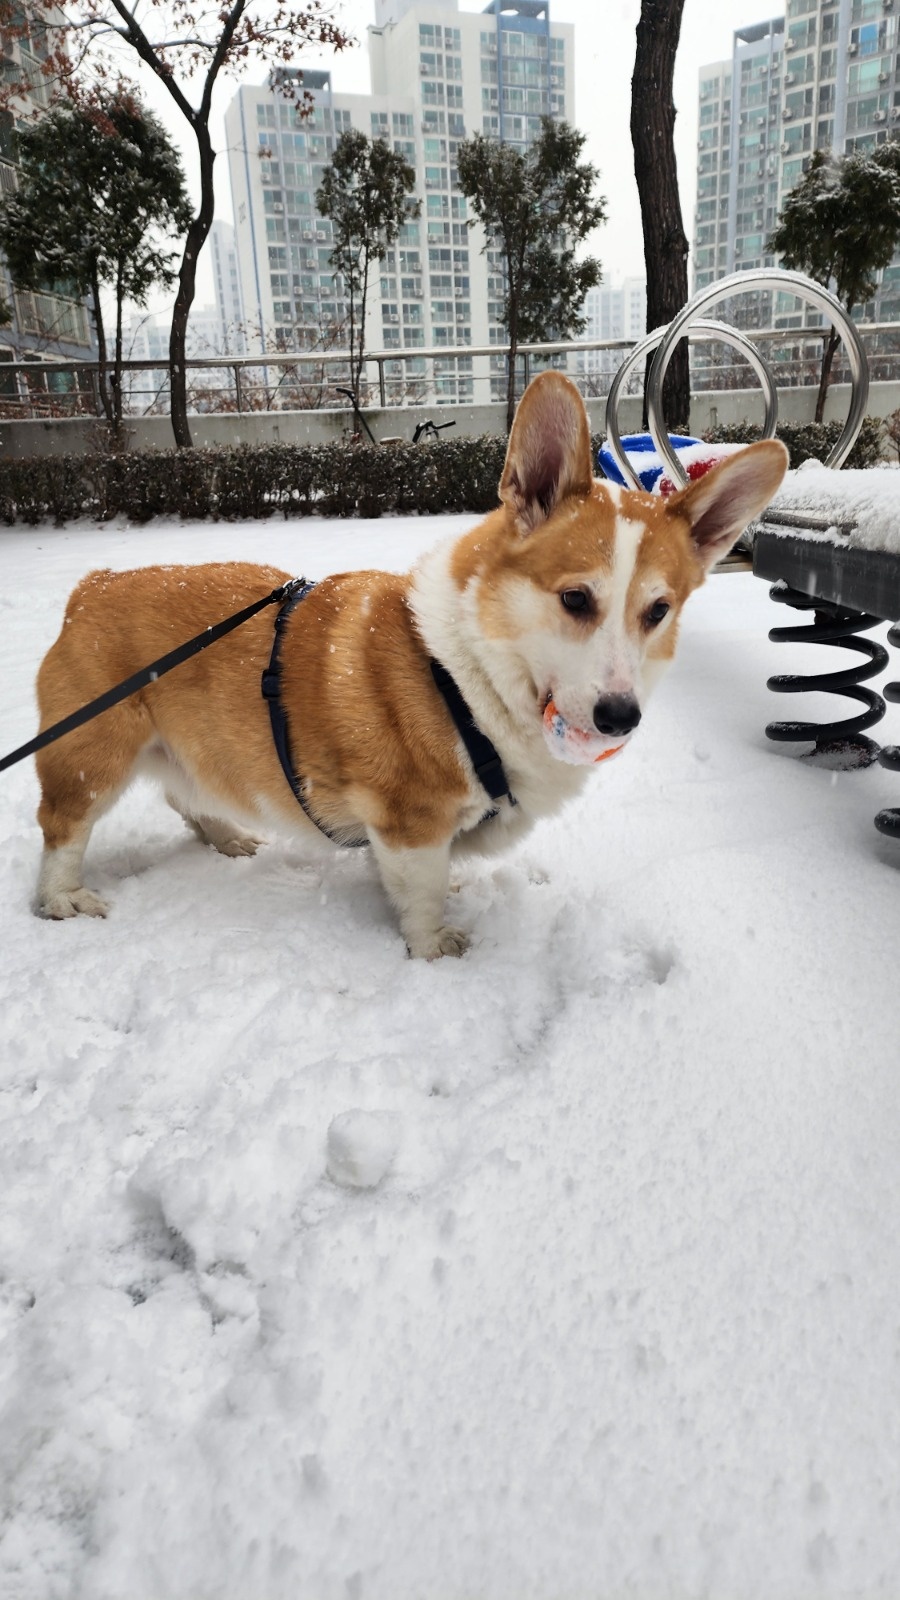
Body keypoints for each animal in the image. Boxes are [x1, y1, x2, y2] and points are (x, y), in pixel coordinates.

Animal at [31, 368, 781, 953]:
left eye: (658, 611)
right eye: (575, 598)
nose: (620, 718)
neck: (467, 675)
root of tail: (90, 587)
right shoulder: (410, 819)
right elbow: (421, 892)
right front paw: (433, 946)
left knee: (184, 794)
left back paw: (228, 838)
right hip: (93, 756)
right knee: (62, 828)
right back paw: (64, 900)